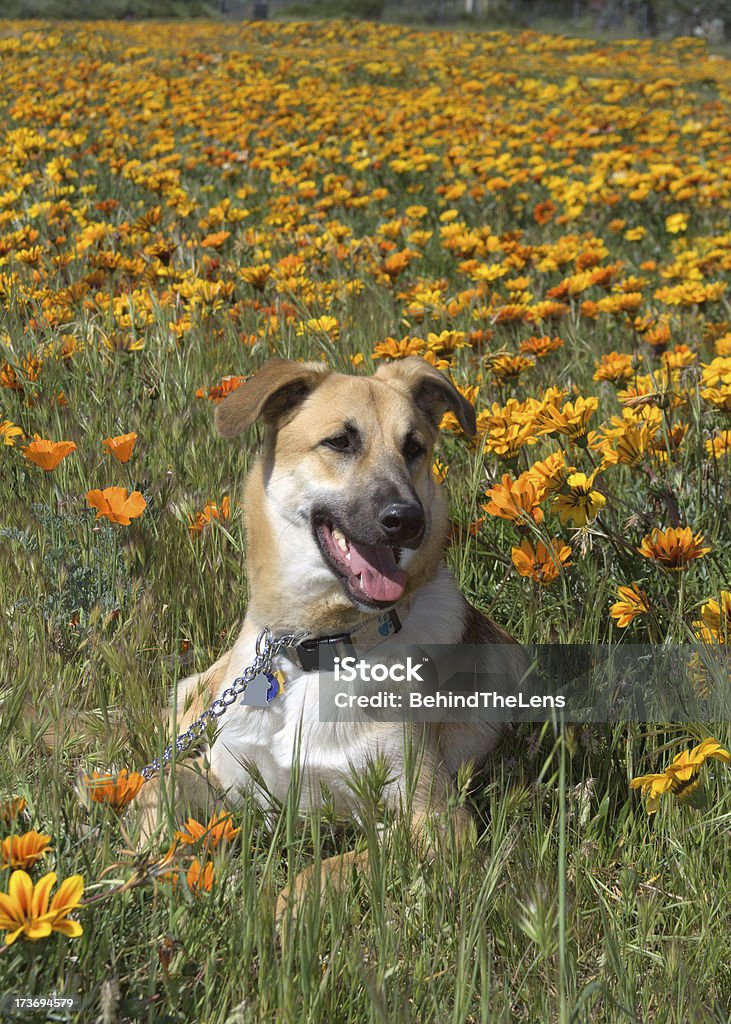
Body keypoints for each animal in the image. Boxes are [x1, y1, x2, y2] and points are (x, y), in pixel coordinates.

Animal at [135, 356, 511, 917]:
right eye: (340, 442)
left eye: (414, 448)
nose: (408, 521)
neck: (315, 648)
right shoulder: (233, 778)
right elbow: (159, 787)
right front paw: (143, 861)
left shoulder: (438, 824)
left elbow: (328, 870)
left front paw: (275, 911)